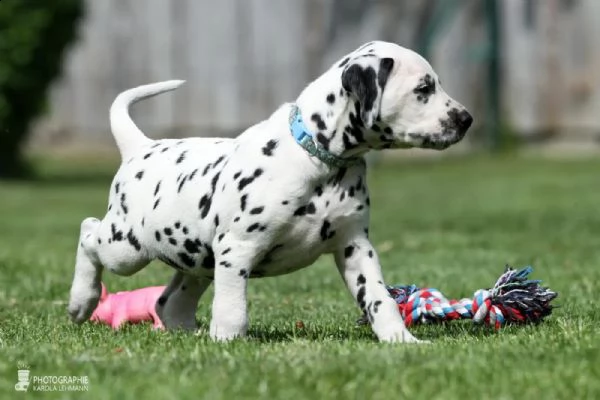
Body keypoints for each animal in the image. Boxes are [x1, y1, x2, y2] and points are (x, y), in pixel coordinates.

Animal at [69, 40, 474, 344]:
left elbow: (378, 298)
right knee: (88, 232)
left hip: (196, 259)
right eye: (423, 89)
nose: (467, 119)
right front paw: (229, 342)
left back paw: (190, 334)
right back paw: (81, 301)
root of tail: (141, 146)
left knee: (170, 303)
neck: (318, 158)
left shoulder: (356, 246)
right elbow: (232, 307)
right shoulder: (237, 248)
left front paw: (401, 340)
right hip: (127, 246)